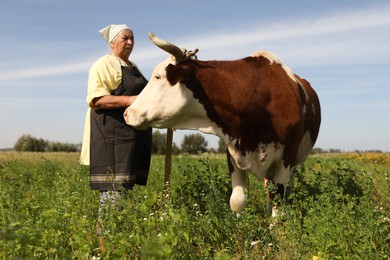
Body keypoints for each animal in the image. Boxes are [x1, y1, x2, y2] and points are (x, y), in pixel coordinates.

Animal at [124, 33, 320, 217]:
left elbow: (278, 201)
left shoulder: (288, 156)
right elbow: (238, 200)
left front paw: (276, 229)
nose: (127, 113)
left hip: (296, 162)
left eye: (157, 76)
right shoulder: (233, 150)